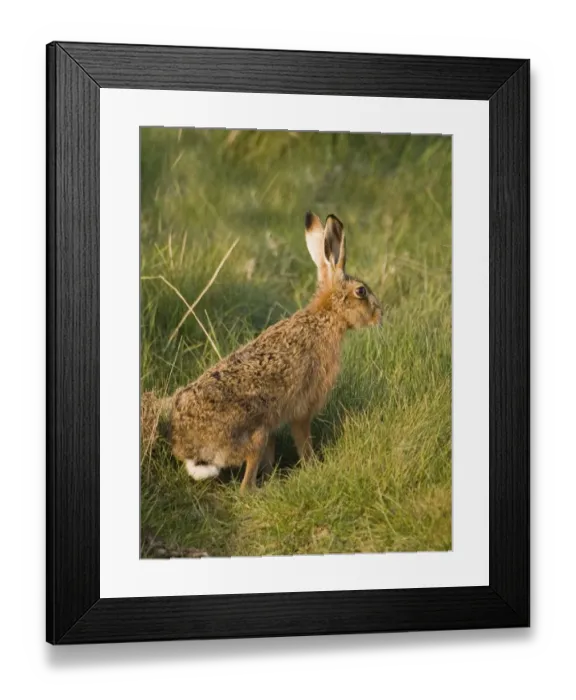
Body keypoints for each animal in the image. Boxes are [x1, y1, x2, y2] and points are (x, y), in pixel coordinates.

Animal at [170, 212, 383, 493]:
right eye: (361, 291)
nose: (381, 314)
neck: (326, 318)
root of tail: (191, 449)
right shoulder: (303, 410)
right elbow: (303, 441)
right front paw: (314, 467)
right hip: (256, 436)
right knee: (245, 486)